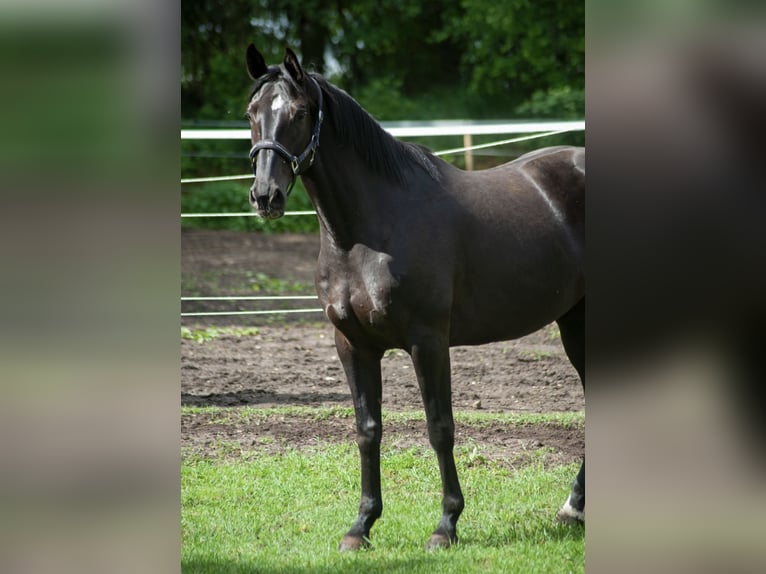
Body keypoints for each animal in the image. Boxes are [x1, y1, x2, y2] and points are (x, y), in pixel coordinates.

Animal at [246, 47, 588, 552]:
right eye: (251, 114)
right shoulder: (353, 345)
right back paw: (573, 508)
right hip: (574, 320)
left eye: (300, 112)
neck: (367, 232)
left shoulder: (427, 342)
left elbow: (439, 428)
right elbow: (368, 430)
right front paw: (361, 526)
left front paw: (446, 525)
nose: (265, 196)